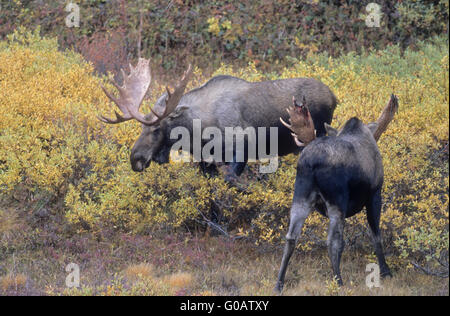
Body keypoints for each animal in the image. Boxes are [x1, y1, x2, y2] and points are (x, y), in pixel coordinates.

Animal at [99, 59, 338, 178]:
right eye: (141, 128)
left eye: (157, 128)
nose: (135, 159)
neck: (198, 133)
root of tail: (334, 96)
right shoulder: (205, 162)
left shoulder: (240, 152)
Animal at [274, 94, 398, 294]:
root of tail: (311, 162)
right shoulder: (374, 194)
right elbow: (375, 236)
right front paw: (386, 272)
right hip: (337, 200)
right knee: (331, 241)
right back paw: (338, 281)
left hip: (301, 195)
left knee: (291, 236)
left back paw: (279, 284)